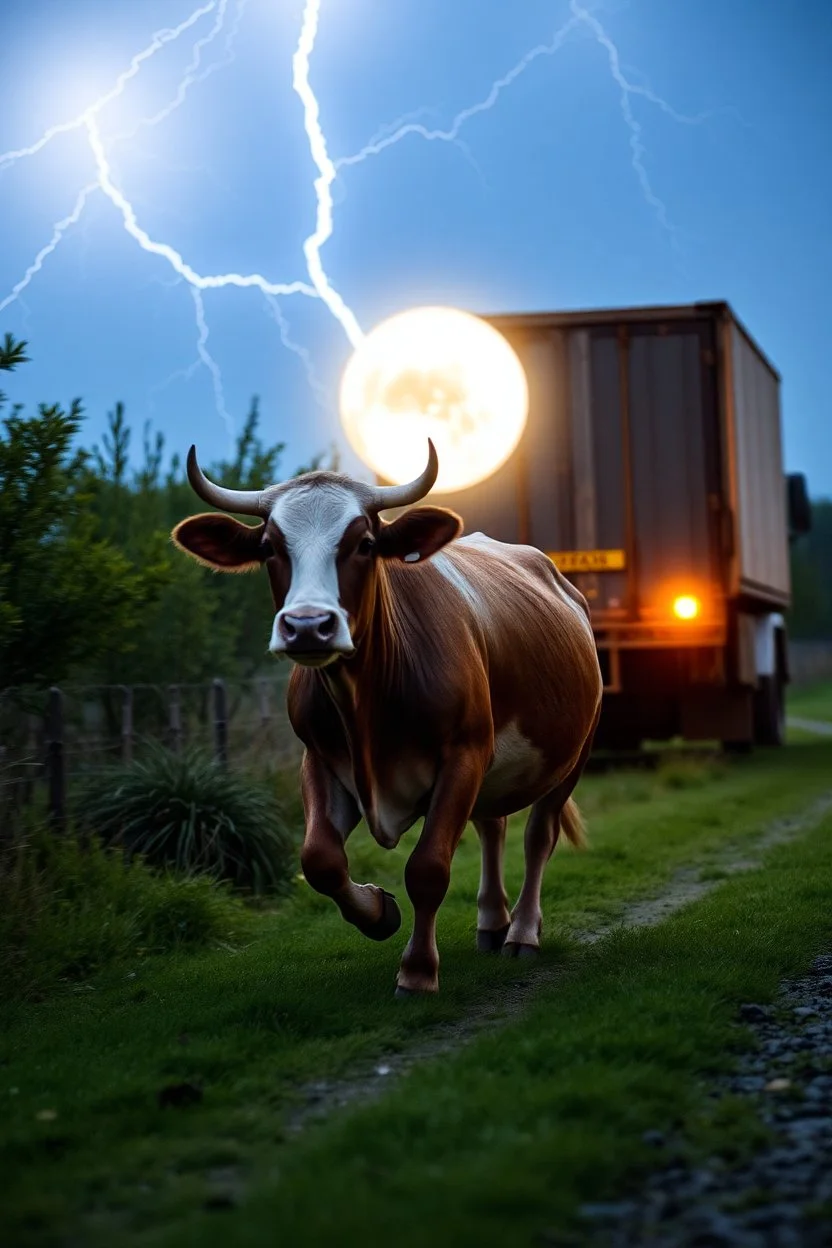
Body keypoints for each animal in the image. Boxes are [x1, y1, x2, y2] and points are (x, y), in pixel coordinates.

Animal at [174, 439, 606, 993]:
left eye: (363, 544)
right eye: (270, 547)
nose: (308, 626)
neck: (367, 707)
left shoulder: (463, 755)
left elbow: (428, 868)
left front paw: (418, 969)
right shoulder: (320, 759)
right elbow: (320, 859)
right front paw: (378, 912)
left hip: (571, 755)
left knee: (538, 837)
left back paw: (522, 933)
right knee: (493, 827)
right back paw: (492, 922)